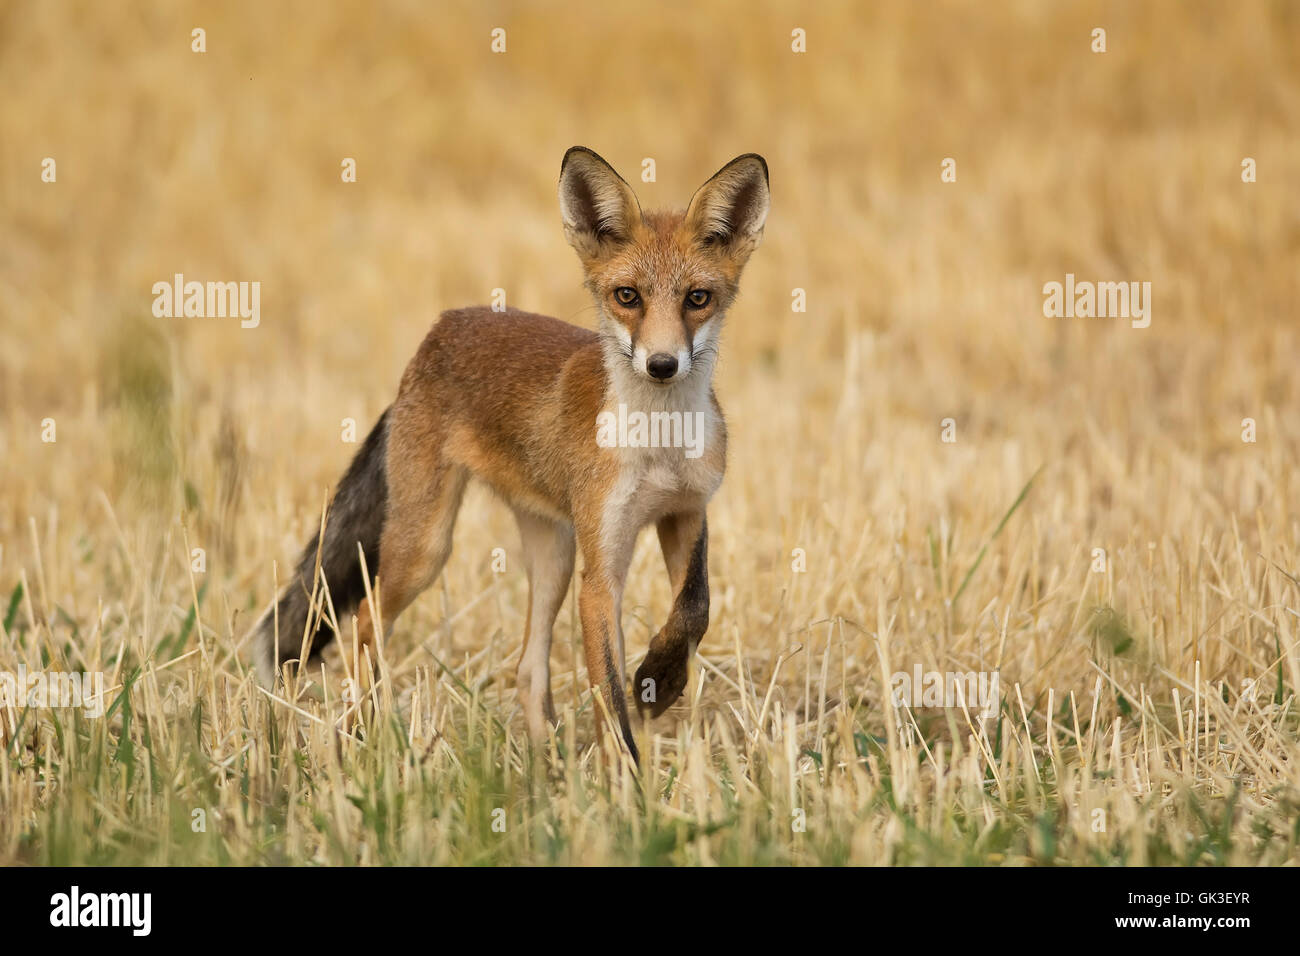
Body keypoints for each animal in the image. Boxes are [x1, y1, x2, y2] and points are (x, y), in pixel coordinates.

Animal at [253, 146, 770, 762]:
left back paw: (546, 763)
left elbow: (694, 609)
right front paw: (626, 775)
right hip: (427, 548)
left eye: (697, 298)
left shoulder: (685, 511)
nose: (662, 365)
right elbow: (609, 695)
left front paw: (660, 679)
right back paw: (360, 735)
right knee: (363, 621)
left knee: (527, 670)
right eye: (628, 297)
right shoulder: (602, 570)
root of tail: (439, 330)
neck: (659, 443)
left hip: (555, 553)